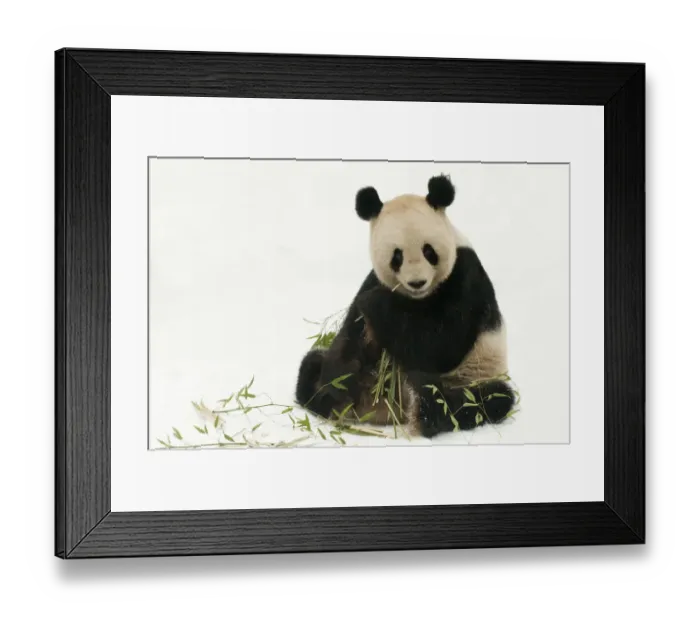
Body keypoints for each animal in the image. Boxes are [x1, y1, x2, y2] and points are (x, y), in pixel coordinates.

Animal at [295, 173, 515, 439]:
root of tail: (386, 411)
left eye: (429, 251)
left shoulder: (465, 276)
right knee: (311, 365)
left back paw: (424, 411)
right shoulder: (373, 280)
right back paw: (327, 399)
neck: (415, 299)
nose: (417, 282)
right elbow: (350, 337)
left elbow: (441, 345)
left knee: (483, 400)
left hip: (473, 376)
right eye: (396, 256)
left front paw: (377, 302)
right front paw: (337, 383)